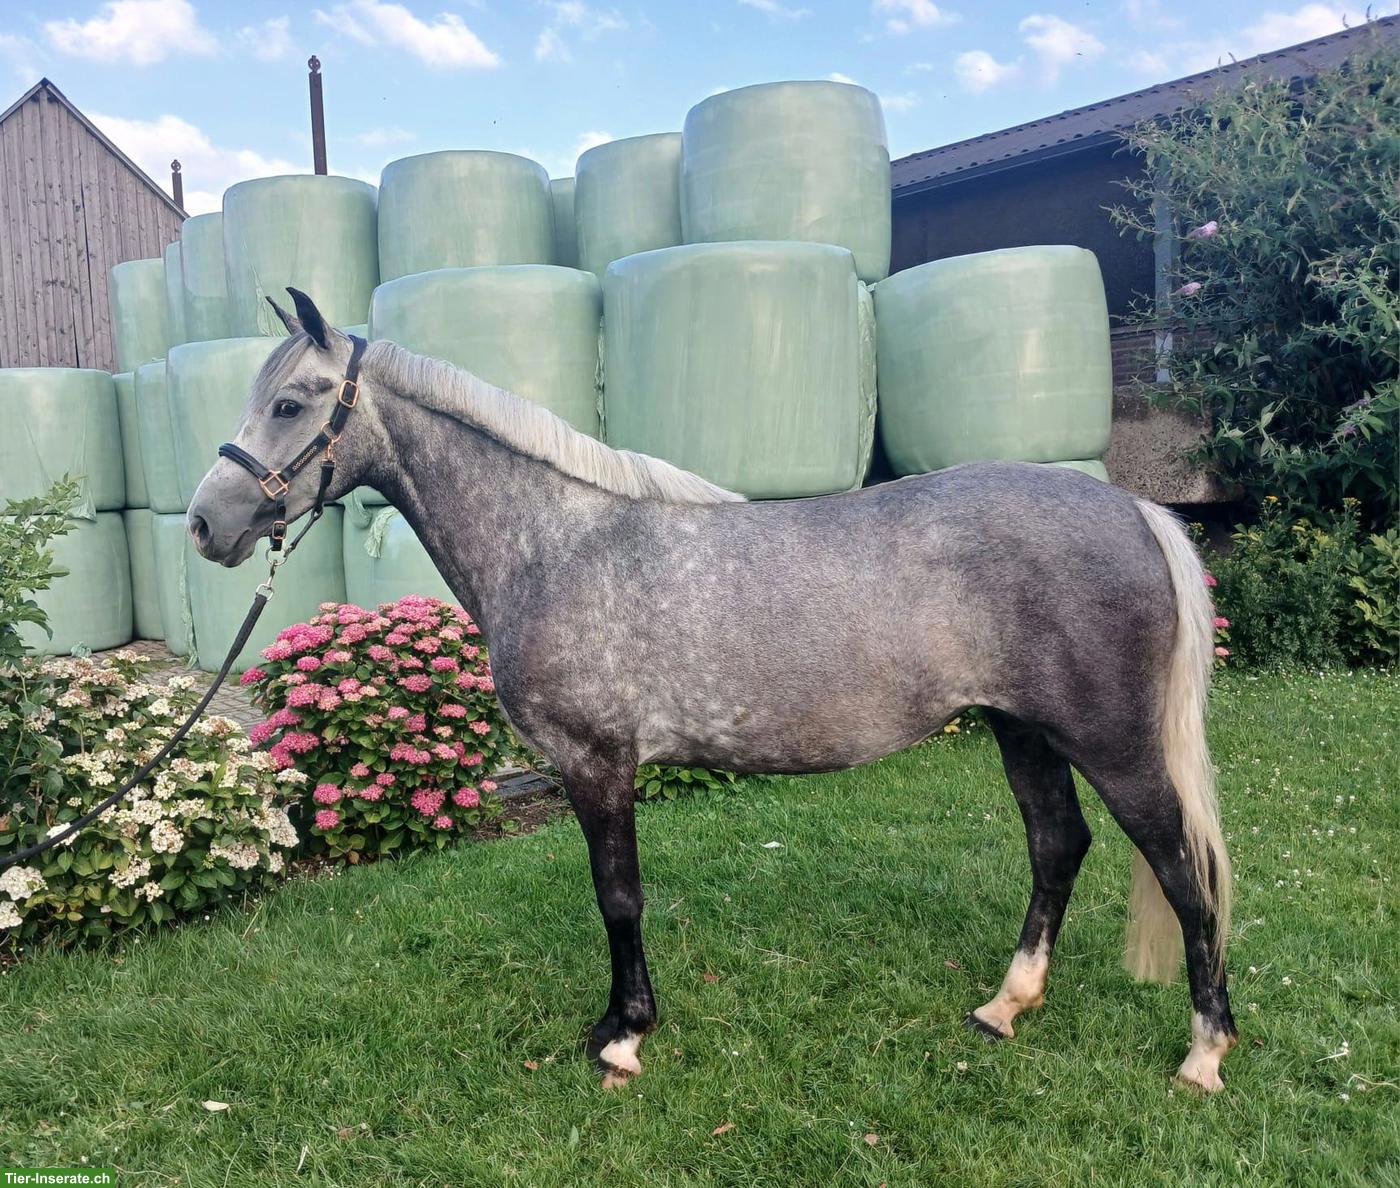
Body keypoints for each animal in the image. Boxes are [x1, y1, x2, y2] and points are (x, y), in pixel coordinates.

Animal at [188, 288, 1238, 1093]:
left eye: (291, 404)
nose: (204, 524)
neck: (556, 543)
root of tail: (1135, 509)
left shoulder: (597, 763)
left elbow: (618, 896)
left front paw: (622, 1036)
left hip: (1110, 742)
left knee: (1180, 866)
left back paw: (1204, 1054)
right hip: (1022, 729)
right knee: (1058, 846)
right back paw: (1005, 1007)